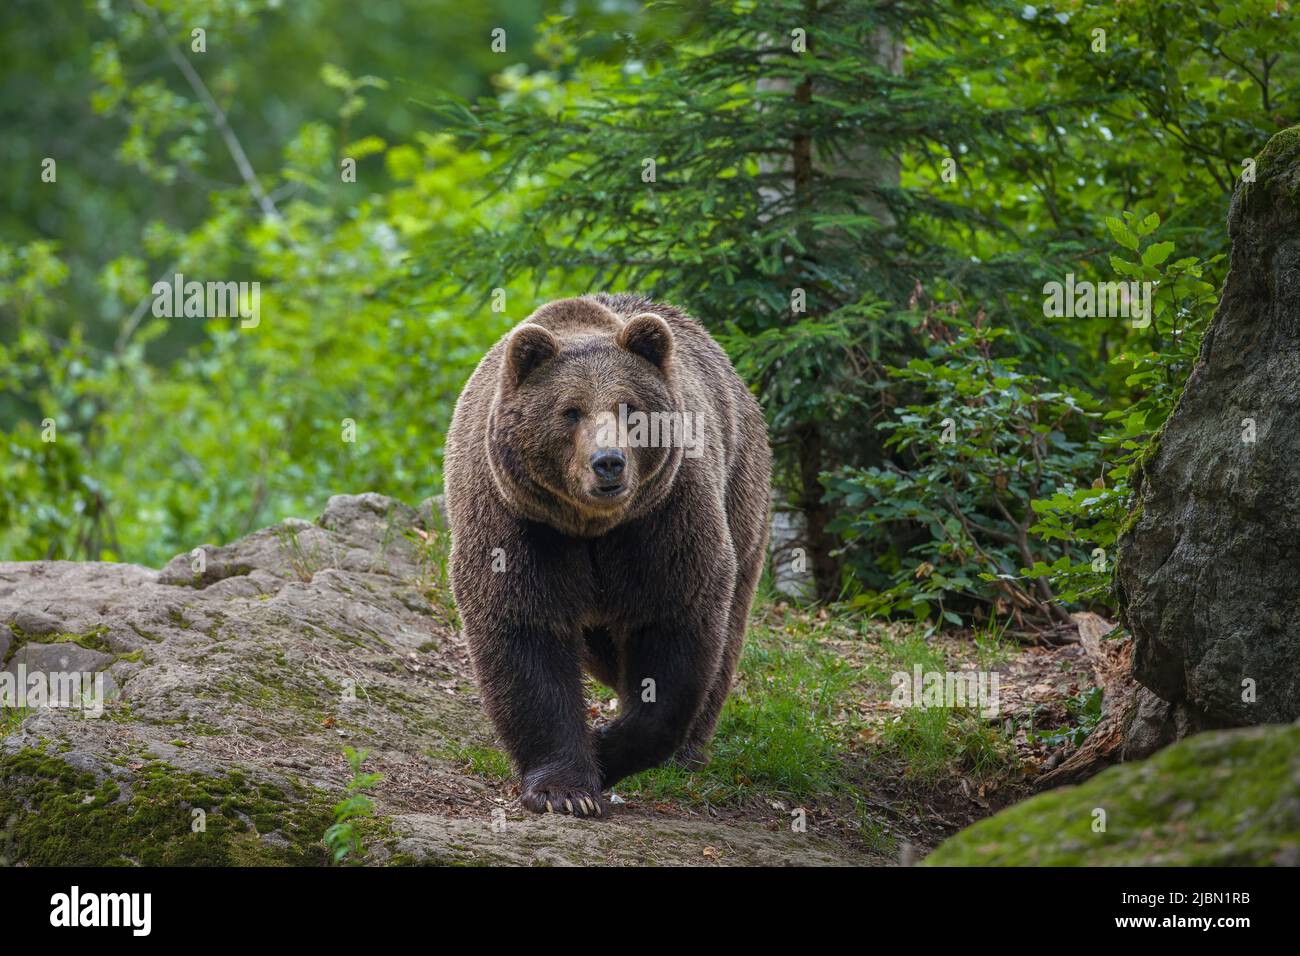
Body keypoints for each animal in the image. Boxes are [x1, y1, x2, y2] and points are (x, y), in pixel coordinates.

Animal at [447, 291, 769, 816]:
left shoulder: (663, 521)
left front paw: (606, 747)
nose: (608, 463)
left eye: (629, 407)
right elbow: (524, 633)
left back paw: (690, 750)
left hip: (742, 495)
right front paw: (564, 790)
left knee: (727, 630)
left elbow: (676, 631)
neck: (592, 526)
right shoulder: (518, 524)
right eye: (570, 411)